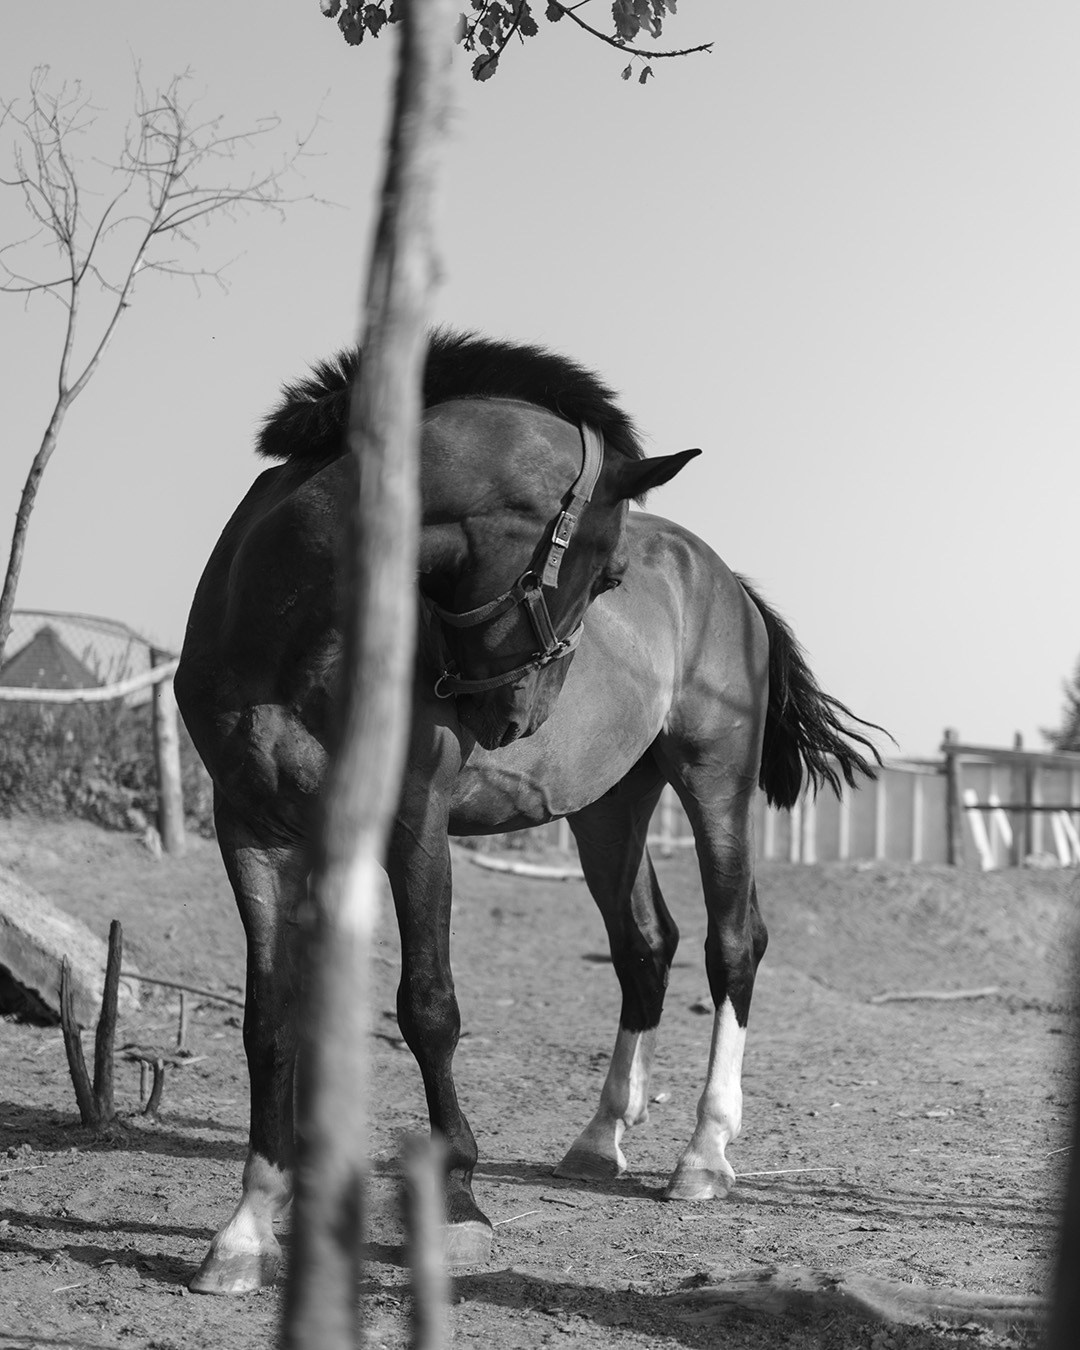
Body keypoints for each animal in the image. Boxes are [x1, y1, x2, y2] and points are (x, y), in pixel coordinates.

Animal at [175, 329, 880, 1295]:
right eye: (608, 572)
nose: (516, 717)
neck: (284, 624)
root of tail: (726, 580)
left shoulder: (414, 822)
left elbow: (428, 1006)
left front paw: (460, 1207)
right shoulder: (249, 830)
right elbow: (269, 1021)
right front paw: (246, 1230)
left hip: (715, 784)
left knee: (733, 941)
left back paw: (703, 1154)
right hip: (609, 810)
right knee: (644, 945)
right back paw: (600, 1137)